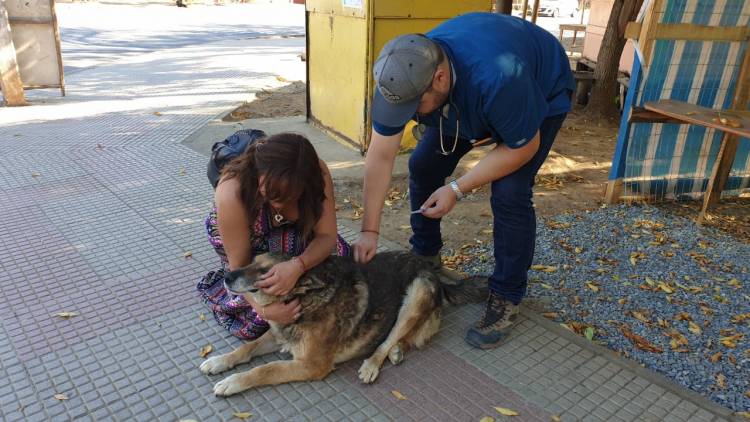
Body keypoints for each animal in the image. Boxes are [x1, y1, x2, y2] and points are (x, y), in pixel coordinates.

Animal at [200, 251, 488, 396]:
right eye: (252, 260)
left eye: (265, 272)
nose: (227, 277)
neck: (307, 299)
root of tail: (432, 270)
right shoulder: (277, 335)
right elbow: (245, 348)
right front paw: (219, 362)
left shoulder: (312, 365)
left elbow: (266, 370)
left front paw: (233, 382)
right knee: (402, 337)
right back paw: (397, 351)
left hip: (417, 292)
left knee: (390, 338)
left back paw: (373, 363)